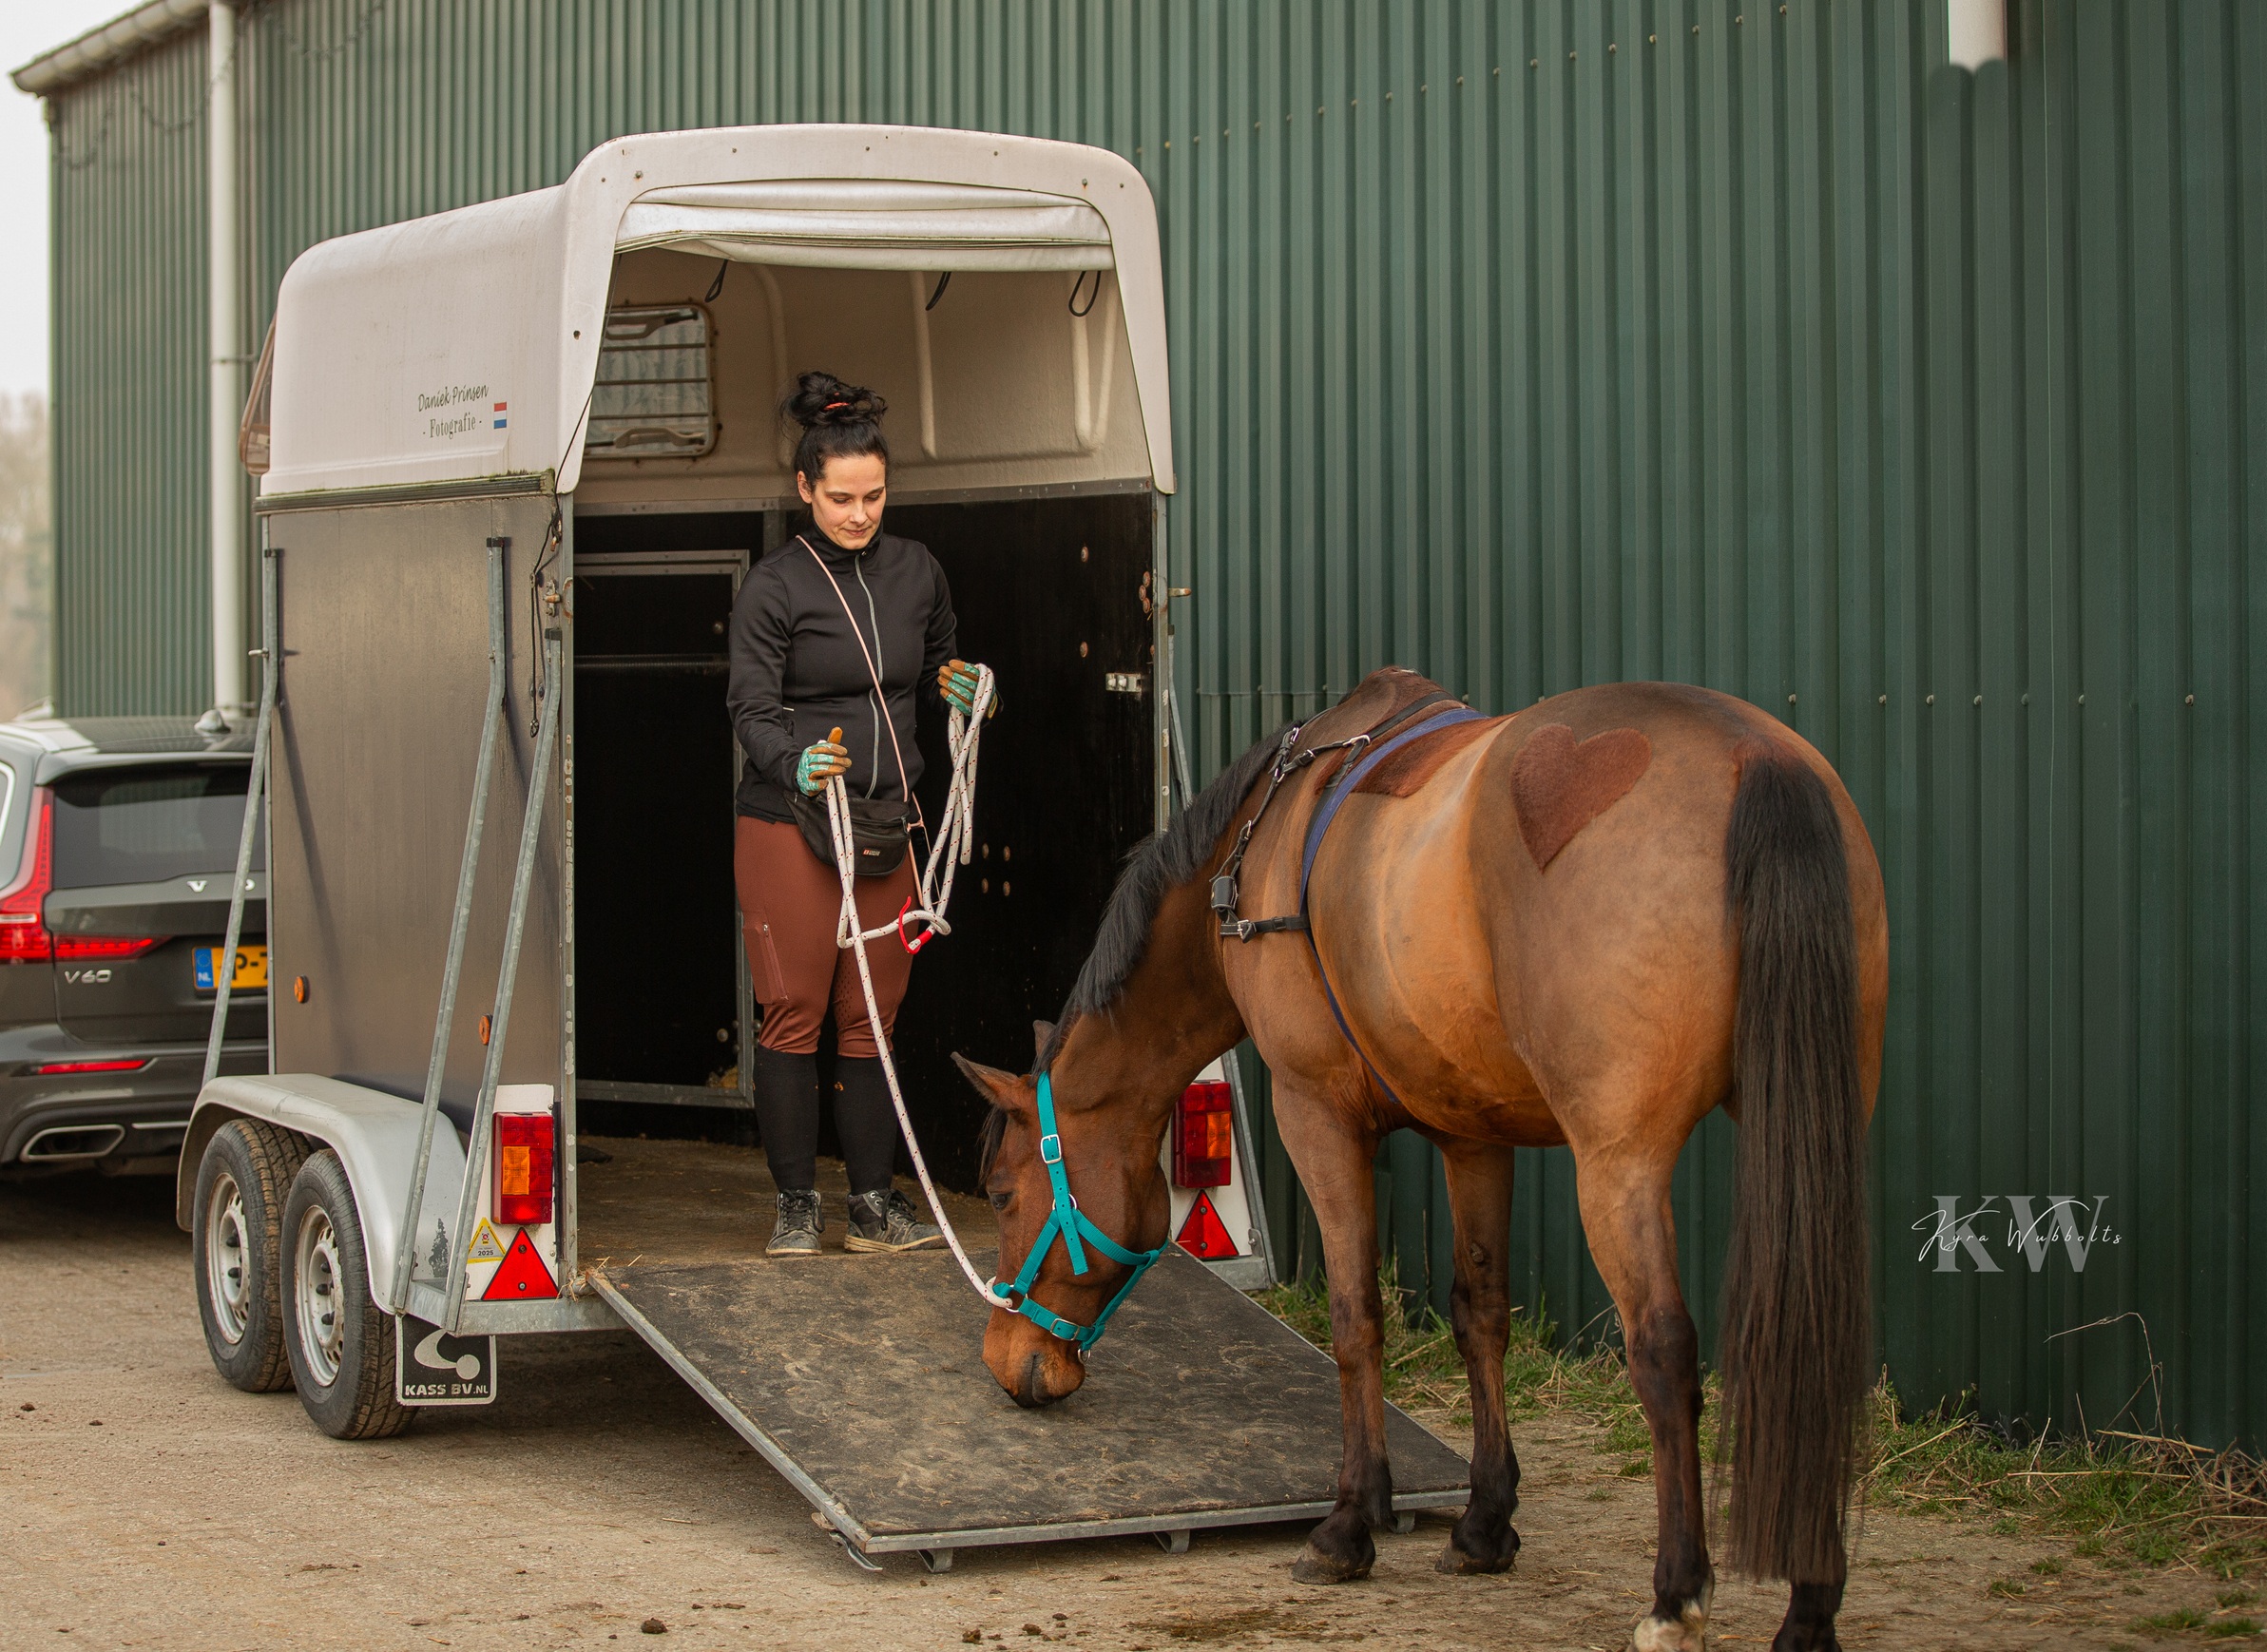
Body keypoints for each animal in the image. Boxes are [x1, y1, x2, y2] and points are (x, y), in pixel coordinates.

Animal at [954, 667, 1887, 1652]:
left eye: (1002, 1193)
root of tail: (1755, 758)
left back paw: (1676, 1599)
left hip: (1619, 1163)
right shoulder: (1474, 1137)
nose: (1006, 1358)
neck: (1255, 850)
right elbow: (1480, 1317)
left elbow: (1354, 1315)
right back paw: (1810, 1607)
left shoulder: (1315, 1115)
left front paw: (1348, 1524)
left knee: (1664, 1352)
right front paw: (1484, 1521)